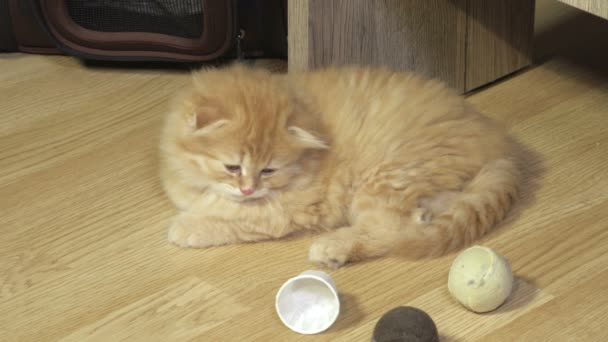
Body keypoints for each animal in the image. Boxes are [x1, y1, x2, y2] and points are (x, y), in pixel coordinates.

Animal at [159, 63, 520, 268]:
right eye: (232, 167)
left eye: (268, 170)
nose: (248, 188)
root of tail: (499, 143)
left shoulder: (292, 207)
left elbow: (239, 216)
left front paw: (191, 226)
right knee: (416, 219)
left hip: (385, 177)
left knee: (389, 231)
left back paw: (333, 247)